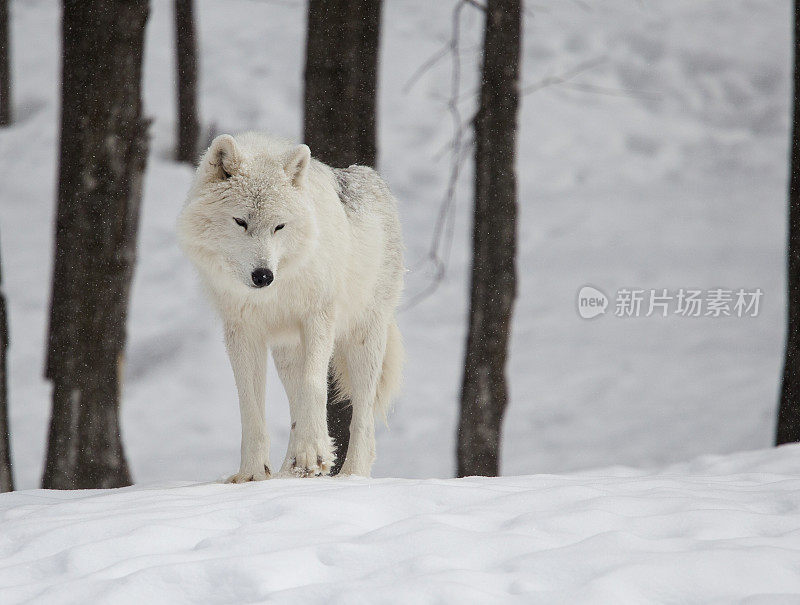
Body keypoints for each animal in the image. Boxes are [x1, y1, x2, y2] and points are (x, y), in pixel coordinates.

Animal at [182, 133, 406, 482]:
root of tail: (372, 177)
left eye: (280, 227)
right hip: (287, 352)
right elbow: (250, 406)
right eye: (240, 222)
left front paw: (313, 452)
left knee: (362, 420)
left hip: (363, 341)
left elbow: (313, 386)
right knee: (296, 404)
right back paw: (291, 470)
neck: (275, 293)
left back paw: (349, 474)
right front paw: (252, 474)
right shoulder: (242, 332)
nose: (263, 276)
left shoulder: (318, 318)